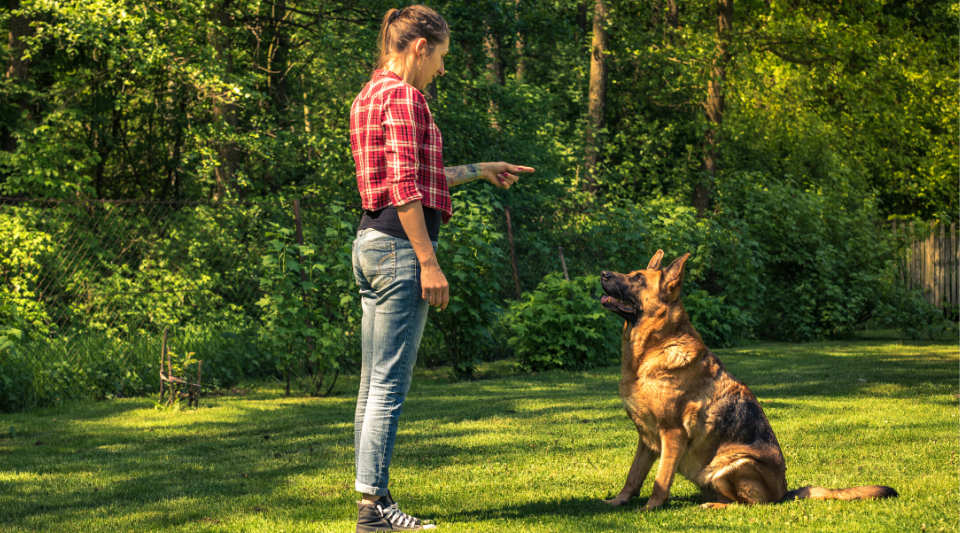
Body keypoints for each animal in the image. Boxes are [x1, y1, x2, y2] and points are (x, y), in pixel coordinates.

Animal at [596, 251, 896, 510]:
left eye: (638, 278)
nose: (602, 273)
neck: (650, 350)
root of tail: (783, 493)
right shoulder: (646, 439)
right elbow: (633, 476)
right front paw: (617, 502)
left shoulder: (672, 434)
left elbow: (661, 479)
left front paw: (650, 508)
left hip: (731, 464)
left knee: (746, 504)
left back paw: (712, 506)